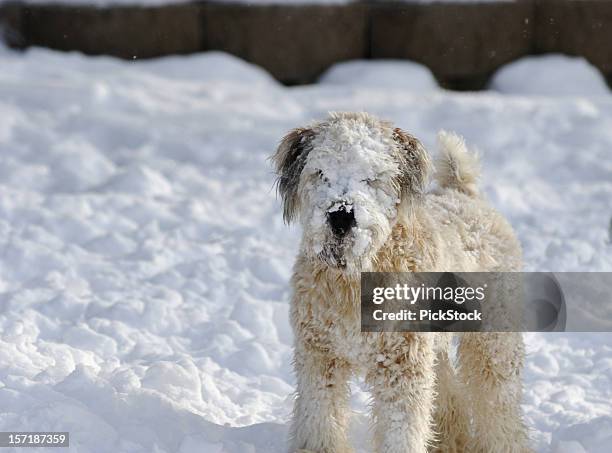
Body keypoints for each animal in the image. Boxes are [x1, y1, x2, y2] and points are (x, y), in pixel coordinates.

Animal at [272, 110, 532, 452]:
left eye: (371, 177)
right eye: (320, 172)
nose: (341, 215)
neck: (355, 278)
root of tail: (463, 194)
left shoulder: (402, 366)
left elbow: (402, 431)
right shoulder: (319, 358)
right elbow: (321, 422)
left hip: (492, 342)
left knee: (498, 405)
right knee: (448, 393)